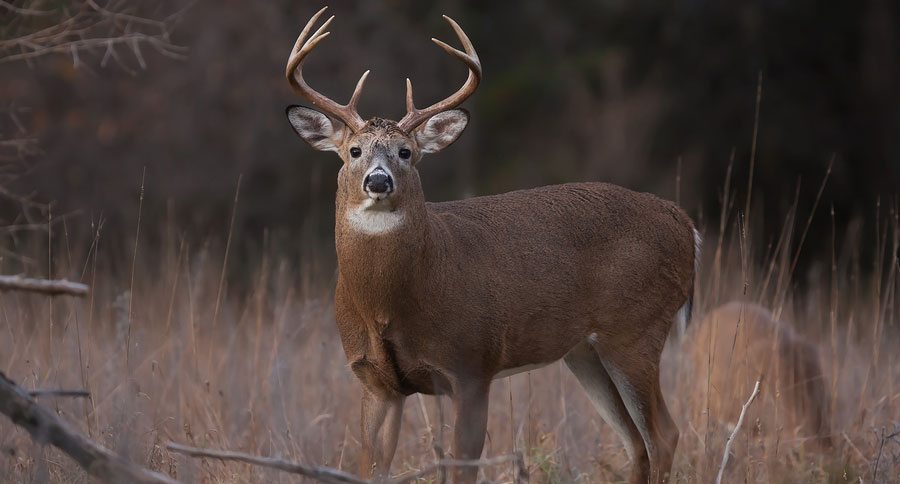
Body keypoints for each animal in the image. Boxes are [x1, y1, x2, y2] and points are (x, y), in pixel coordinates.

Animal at [284, 6, 700, 480]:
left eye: (406, 152)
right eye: (354, 151)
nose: (378, 180)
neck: (391, 303)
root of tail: (683, 222)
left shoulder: (470, 365)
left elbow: (462, 466)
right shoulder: (374, 380)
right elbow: (372, 469)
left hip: (637, 329)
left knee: (663, 435)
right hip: (585, 352)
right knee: (635, 442)